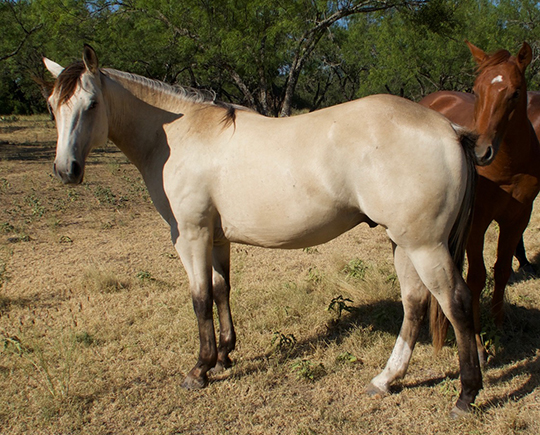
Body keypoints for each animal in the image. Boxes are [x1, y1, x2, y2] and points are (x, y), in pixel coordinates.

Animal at [420, 43, 540, 364]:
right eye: (476, 90)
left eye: (516, 92)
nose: (480, 151)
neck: (507, 165)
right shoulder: (478, 221)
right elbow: (476, 277)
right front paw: (478, 343)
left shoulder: (518, 218)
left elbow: (501, 269)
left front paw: (498, 324)